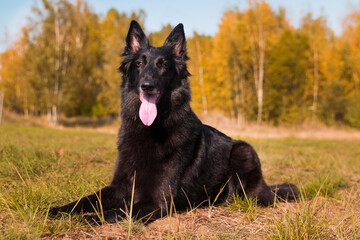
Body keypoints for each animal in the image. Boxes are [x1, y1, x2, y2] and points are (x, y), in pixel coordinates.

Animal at [50, 20, 298, 223]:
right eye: (139, 64)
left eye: (163, 65)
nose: (147, 86)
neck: (150, 130)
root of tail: (266, 186)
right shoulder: (118, 187)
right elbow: (86, 200)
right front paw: (59, 210)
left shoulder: (155, 202)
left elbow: (118, 211)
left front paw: (89, 218)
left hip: (243, 150)